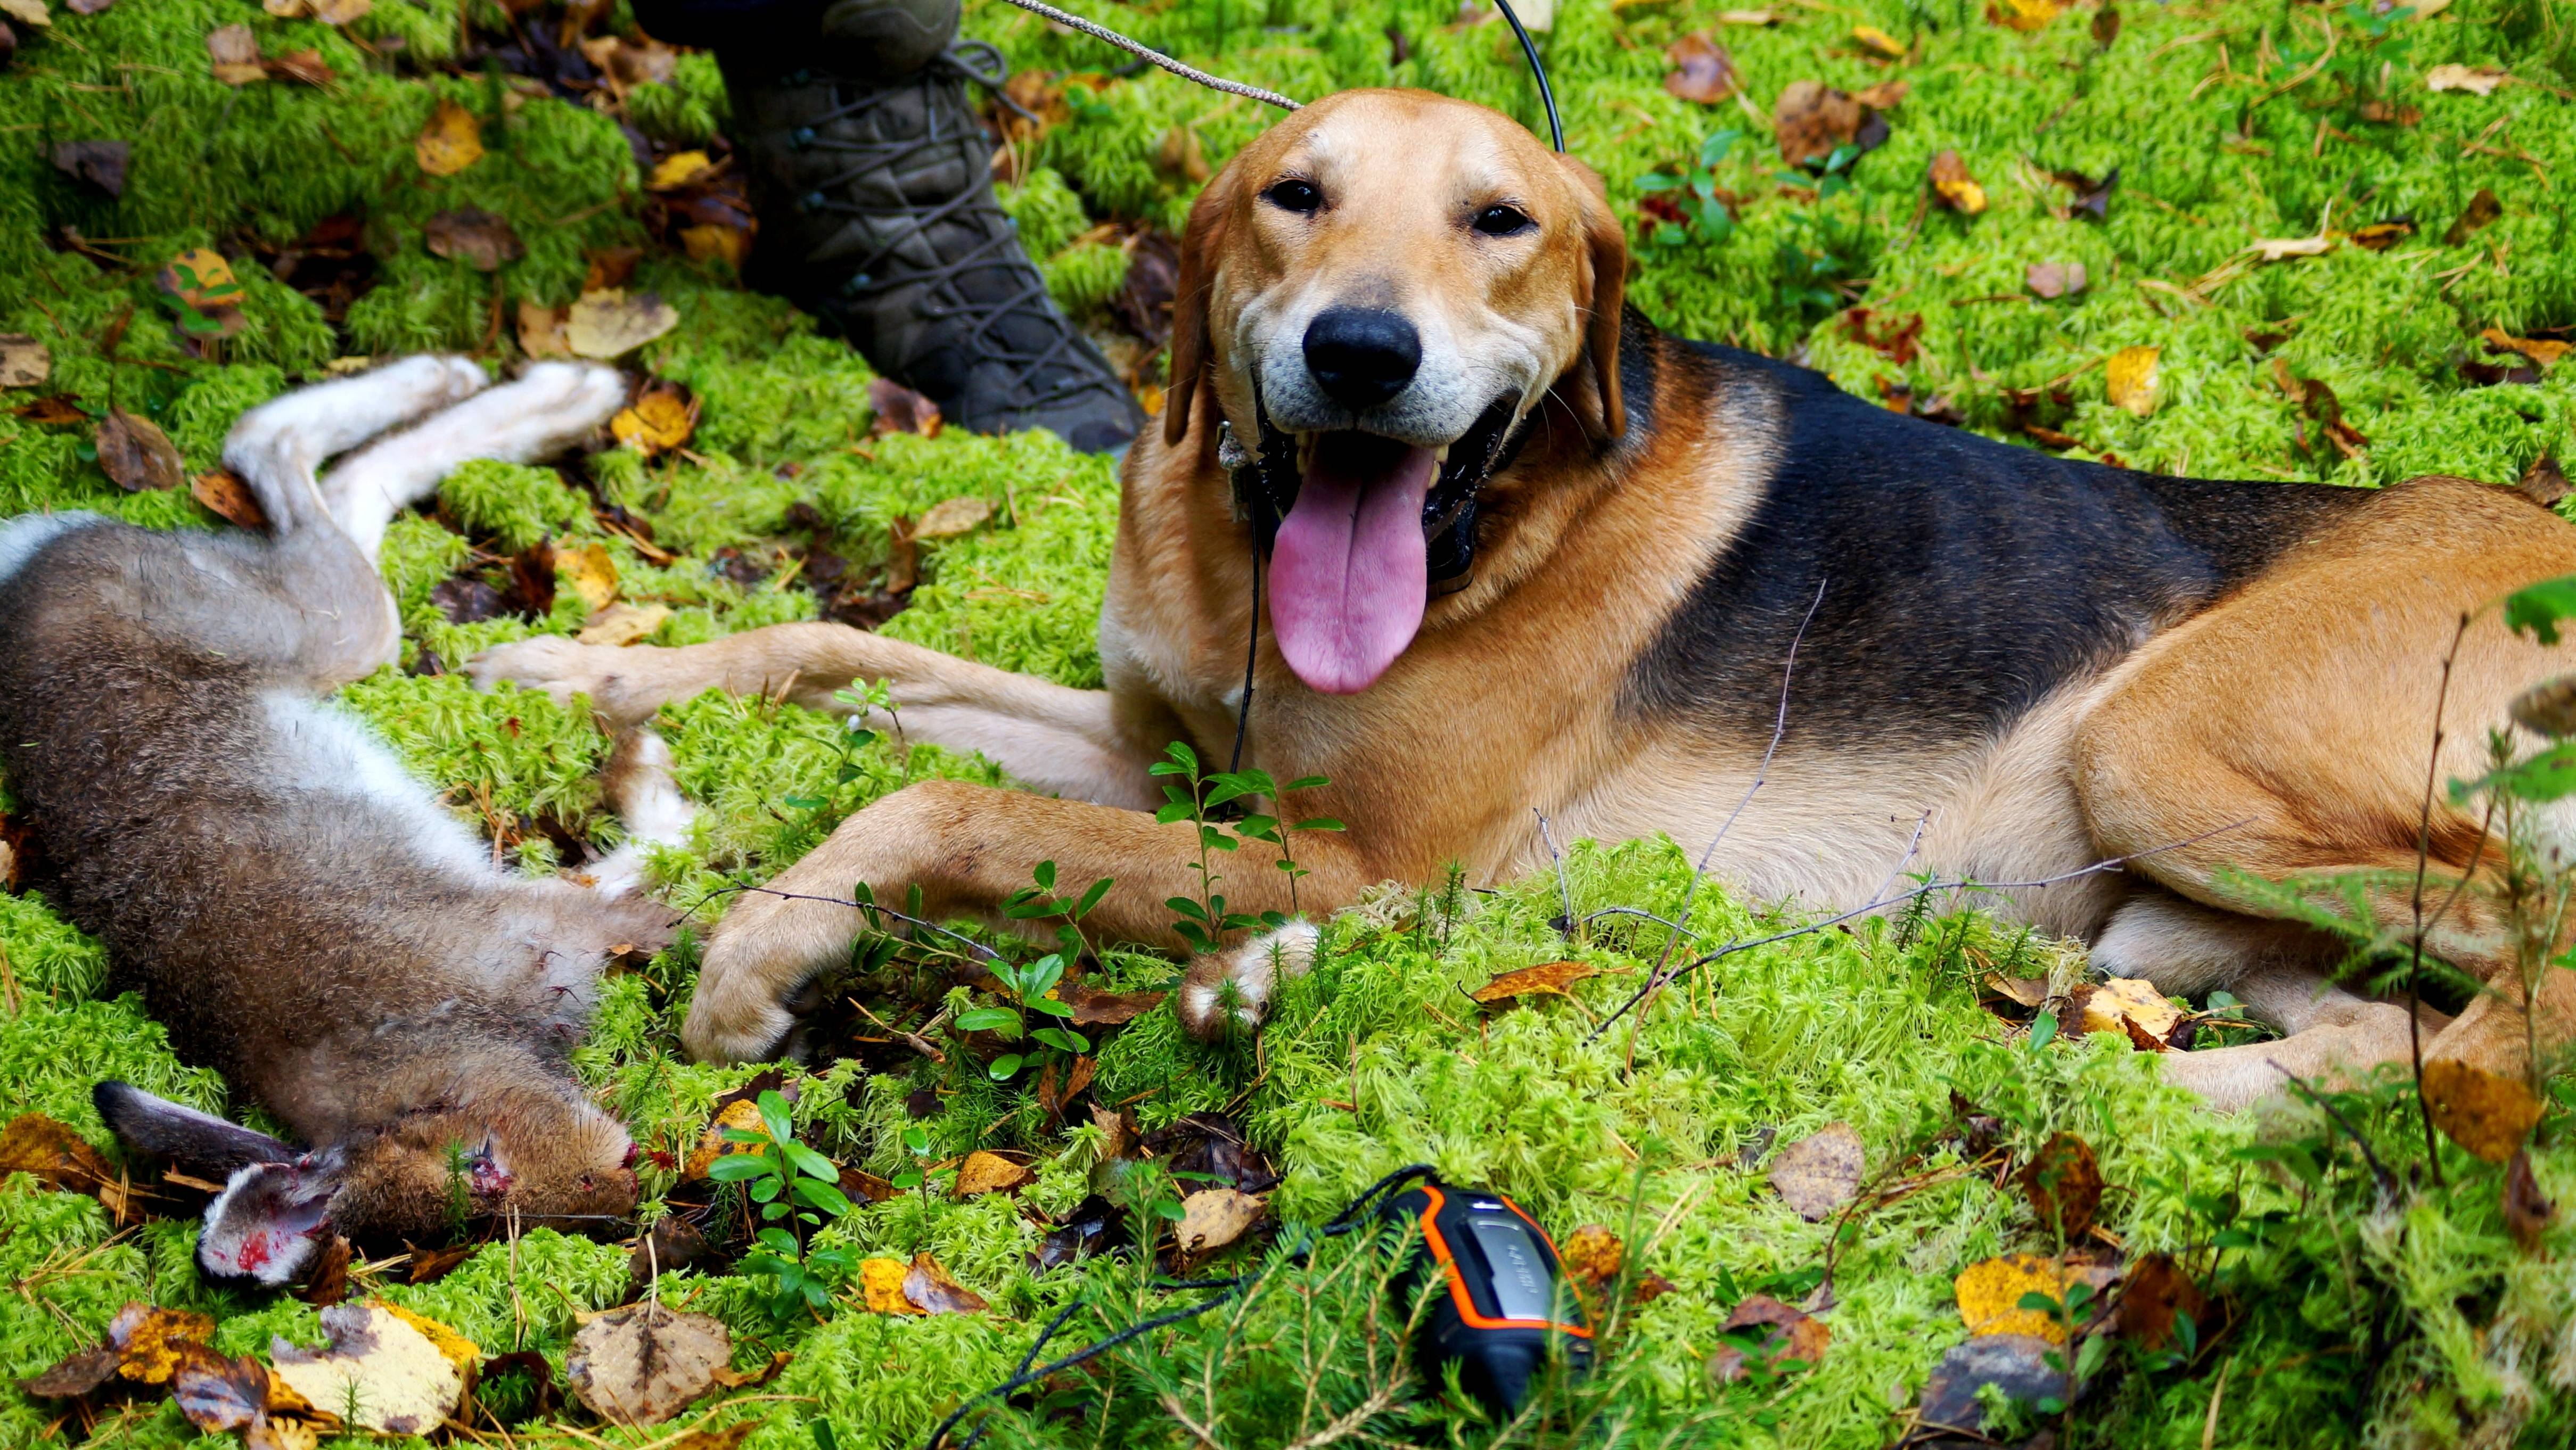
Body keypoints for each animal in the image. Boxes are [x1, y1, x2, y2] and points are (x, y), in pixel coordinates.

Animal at [474, 85, 2576, 1117]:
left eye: (1502, 224)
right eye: (1293, 195)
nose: (1359, 354)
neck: (1254, 565)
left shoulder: (1344, 855)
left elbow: (930, 800)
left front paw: (767, 942)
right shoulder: (1158, 757)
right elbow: (838, 651)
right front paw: (576, 664)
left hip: (2165, 740)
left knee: (2525, 986)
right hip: (2177, 890)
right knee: (2381, 1004)